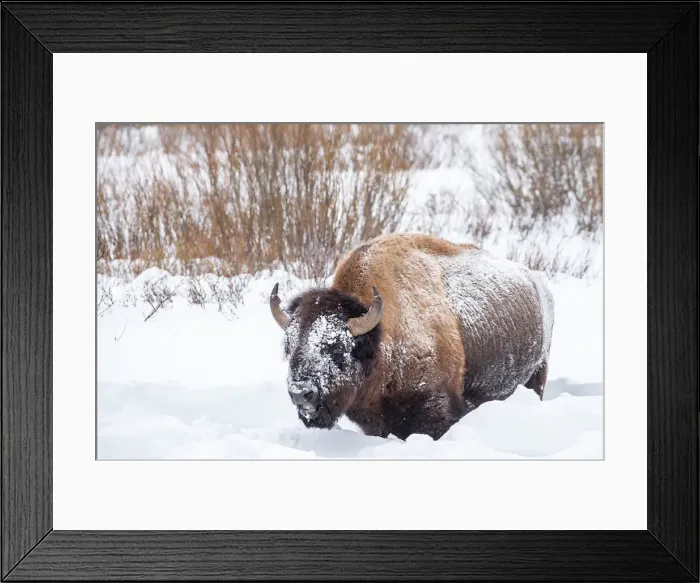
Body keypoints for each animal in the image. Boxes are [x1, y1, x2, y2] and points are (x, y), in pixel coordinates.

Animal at [270, 233, 554, 440]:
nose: (300, 393)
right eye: (289, 347)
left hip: (537, 375)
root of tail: (538, 284)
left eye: (337, 347)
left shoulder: (436, 410)